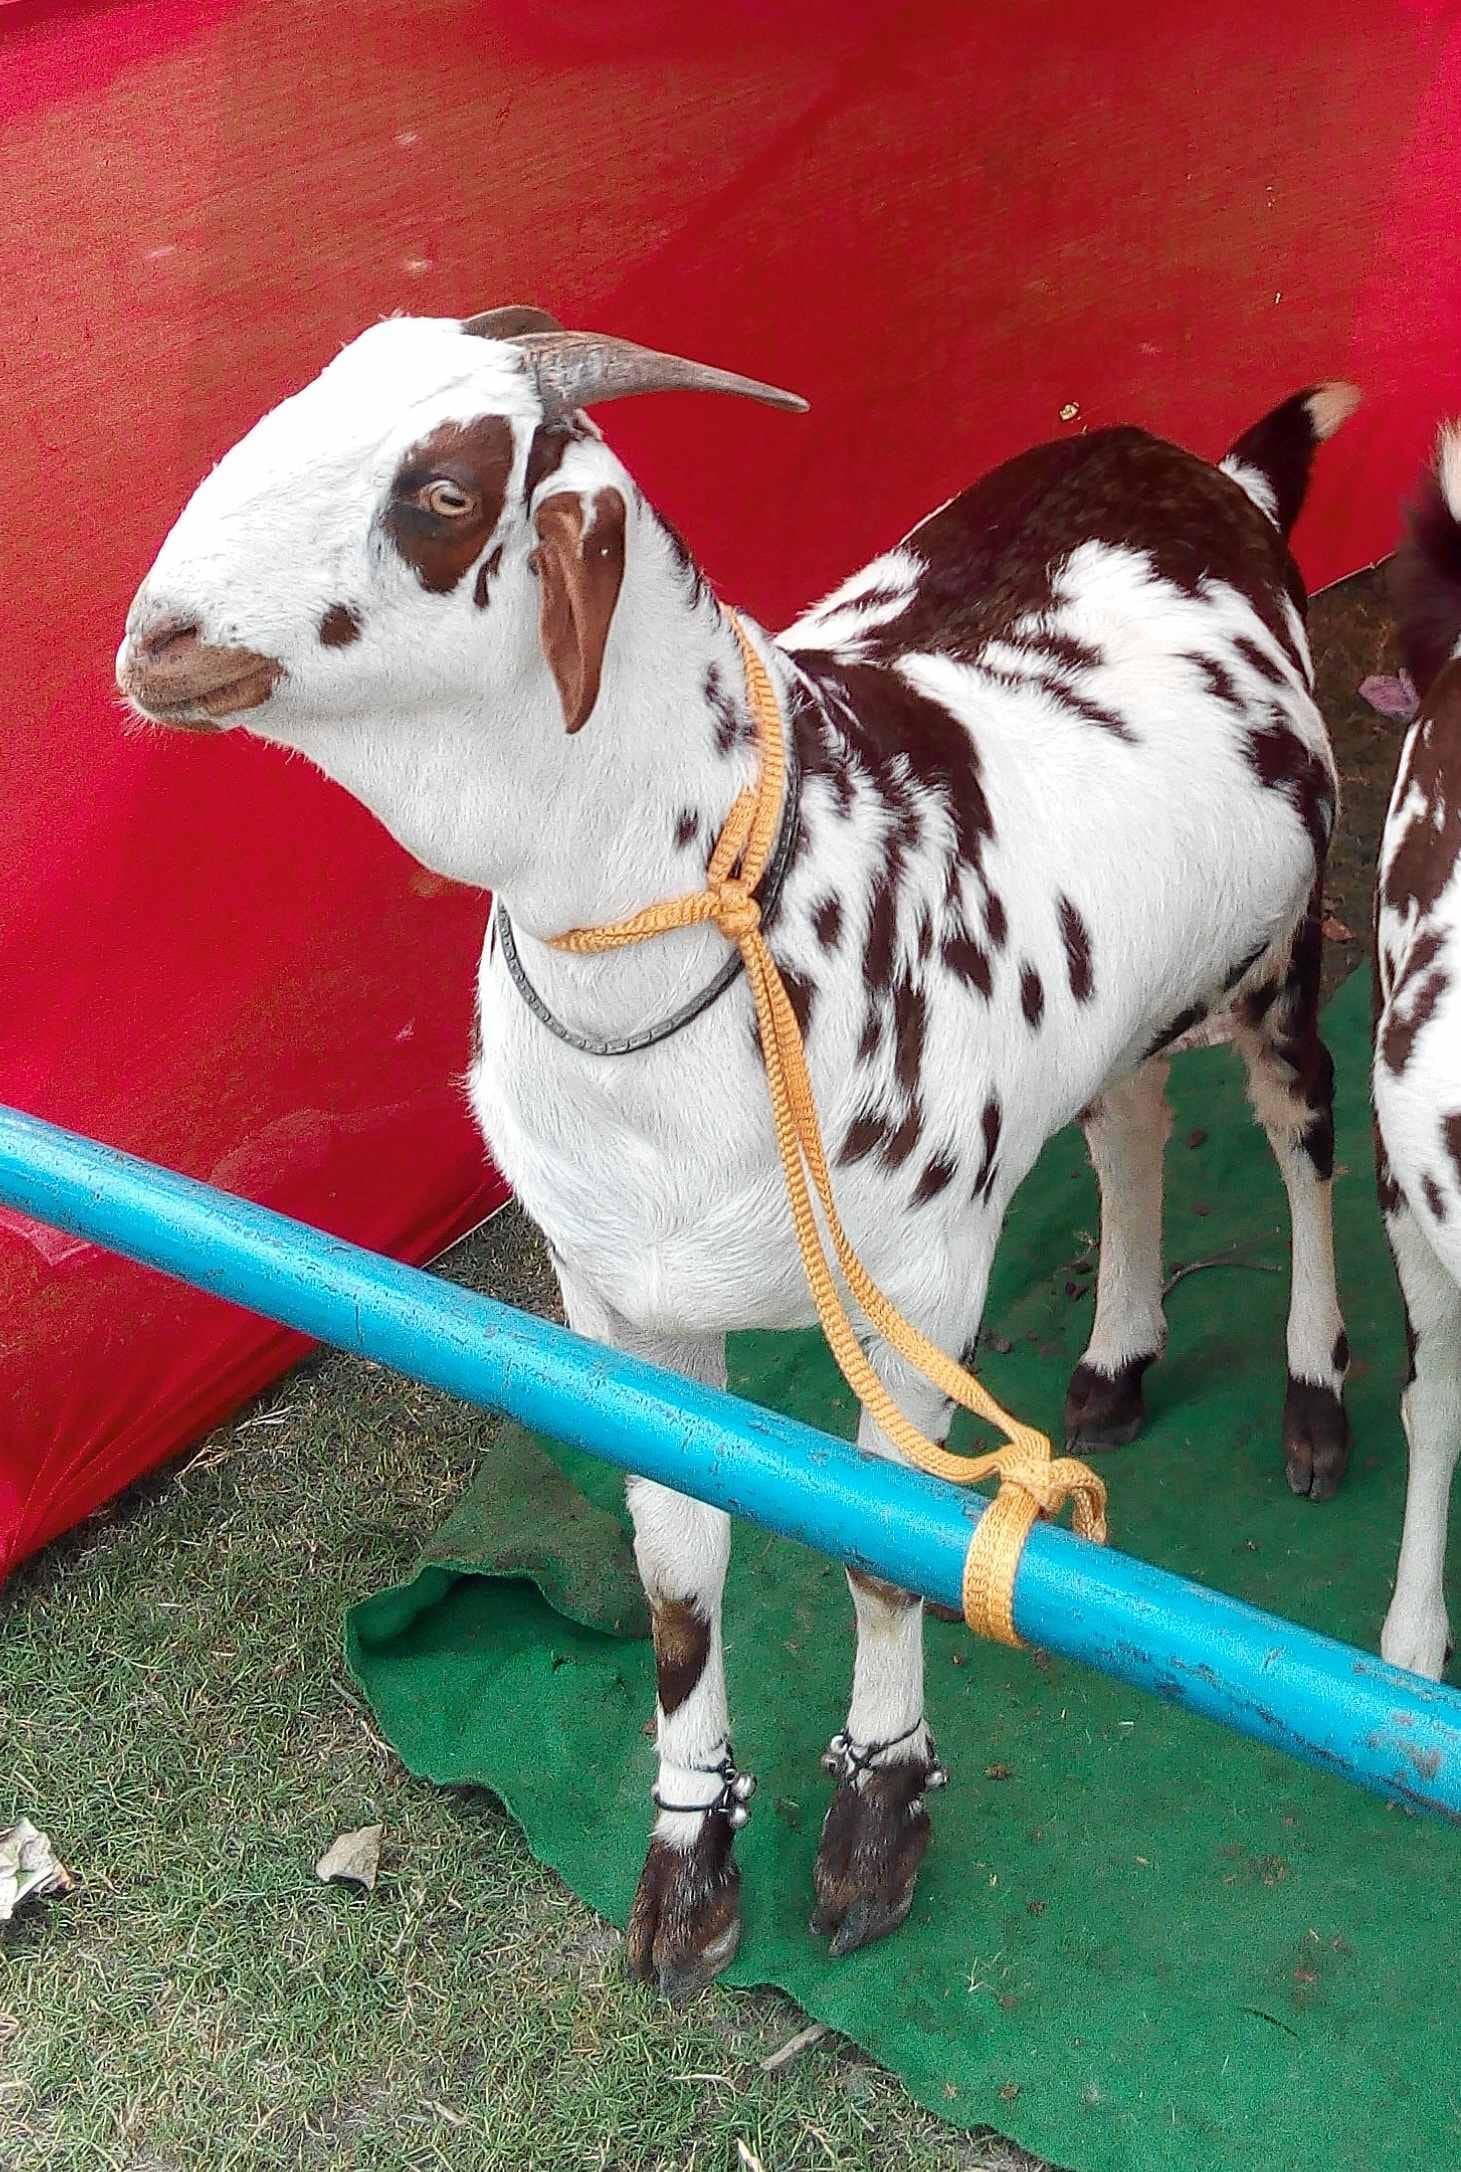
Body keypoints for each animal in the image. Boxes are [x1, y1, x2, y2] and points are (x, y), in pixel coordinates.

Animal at [118, 309, 1355, 1998]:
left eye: (443, 492)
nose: (155, 638)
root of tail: (1206, 472)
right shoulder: (614, 1311)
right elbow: (678, 1579)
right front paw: (690, 1865)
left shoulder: (918, 1294)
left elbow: (887, 1551)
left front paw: (876, 1833)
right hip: (1127, 1003)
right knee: (1130, 1121)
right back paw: (1115, 1360)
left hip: (1279, 953)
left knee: (1302, 1138)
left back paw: (1314, 1397)